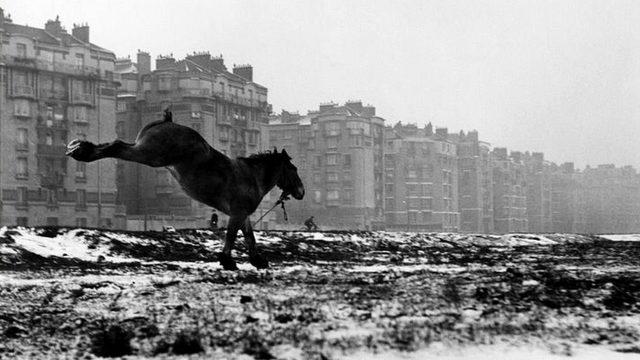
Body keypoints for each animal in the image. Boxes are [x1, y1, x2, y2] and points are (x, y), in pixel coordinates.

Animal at [66, 109, 306, 270]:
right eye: (293, 169)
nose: (301, 191)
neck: (250, 176)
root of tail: (166, 122)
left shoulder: (242, 214)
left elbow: (249, 236)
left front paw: (257, 260)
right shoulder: (237, 213)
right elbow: (232, 235)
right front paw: (227, 261)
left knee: (114, 145)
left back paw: (79, 148)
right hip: (149, 155)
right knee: (116, 146)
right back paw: (80, 152)